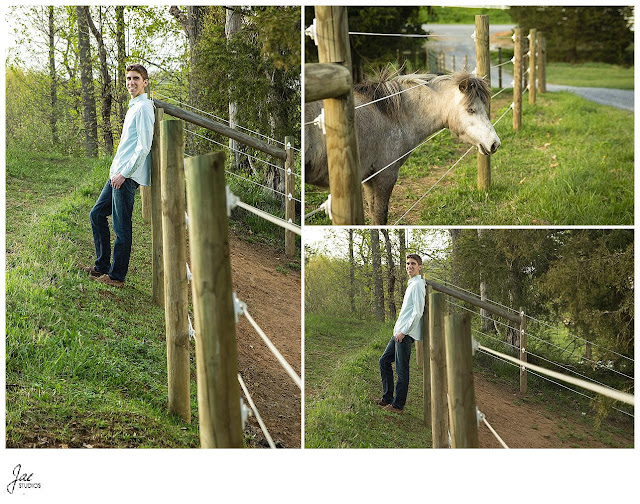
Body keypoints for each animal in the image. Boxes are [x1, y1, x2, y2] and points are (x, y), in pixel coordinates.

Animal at [304, 69, 500, 224]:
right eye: (471, 110)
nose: (494, 143)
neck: (389, 115)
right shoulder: (386, 176)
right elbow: (380, 218)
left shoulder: (368, 178)